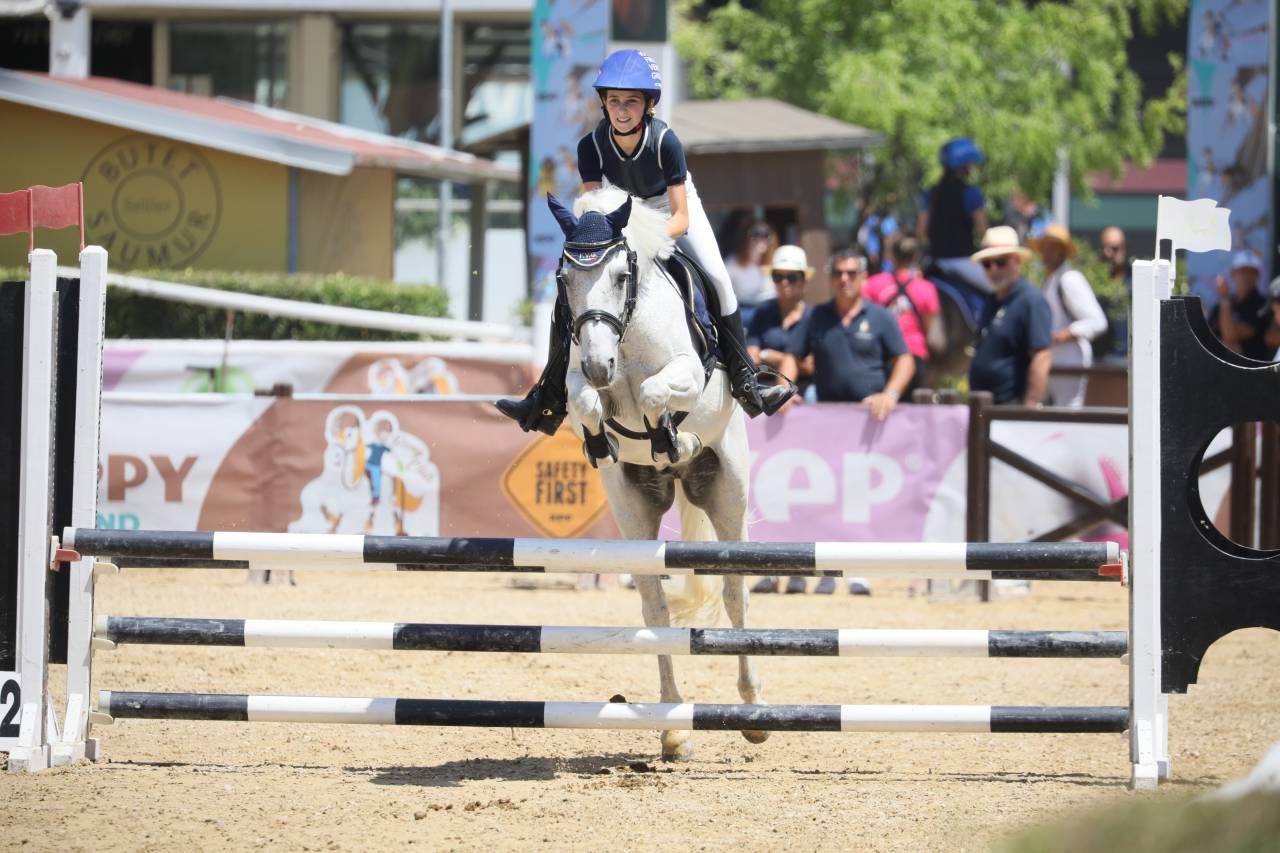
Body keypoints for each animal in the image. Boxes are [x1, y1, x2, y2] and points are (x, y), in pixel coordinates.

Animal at [549, 187, 768, 761]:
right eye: (564, 279)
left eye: (620, 276)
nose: (600, 364)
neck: (624, 336)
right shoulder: (579, 384)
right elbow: (587, 403)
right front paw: (601, 437)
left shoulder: (685, 373)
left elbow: (652, 393)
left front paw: (672, 435)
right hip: (635, 510)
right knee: (656, 610)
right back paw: (672, 727)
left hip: (729, 494)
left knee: (736, 595)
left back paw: (754, 710)